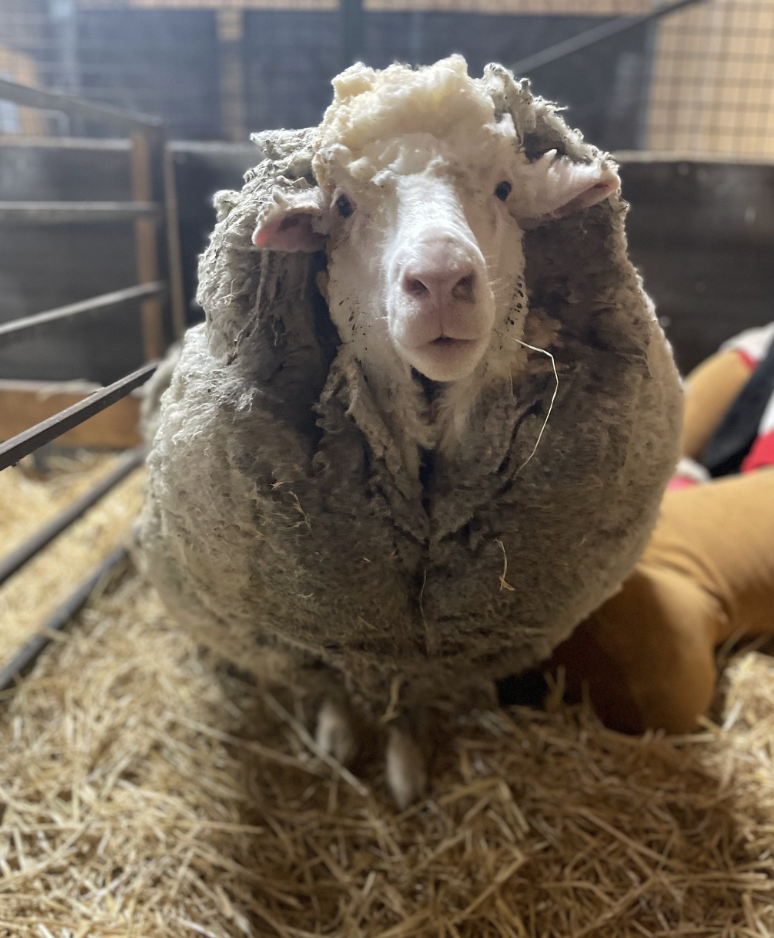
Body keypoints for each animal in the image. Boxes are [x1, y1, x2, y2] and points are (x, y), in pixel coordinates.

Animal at [141, 56, 683, 808]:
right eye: (341, 206)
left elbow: (413, 707)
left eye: (505, 188)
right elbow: (340, 690)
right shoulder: (326, 640)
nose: (442, 279)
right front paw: (344, 743)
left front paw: (406, 768)